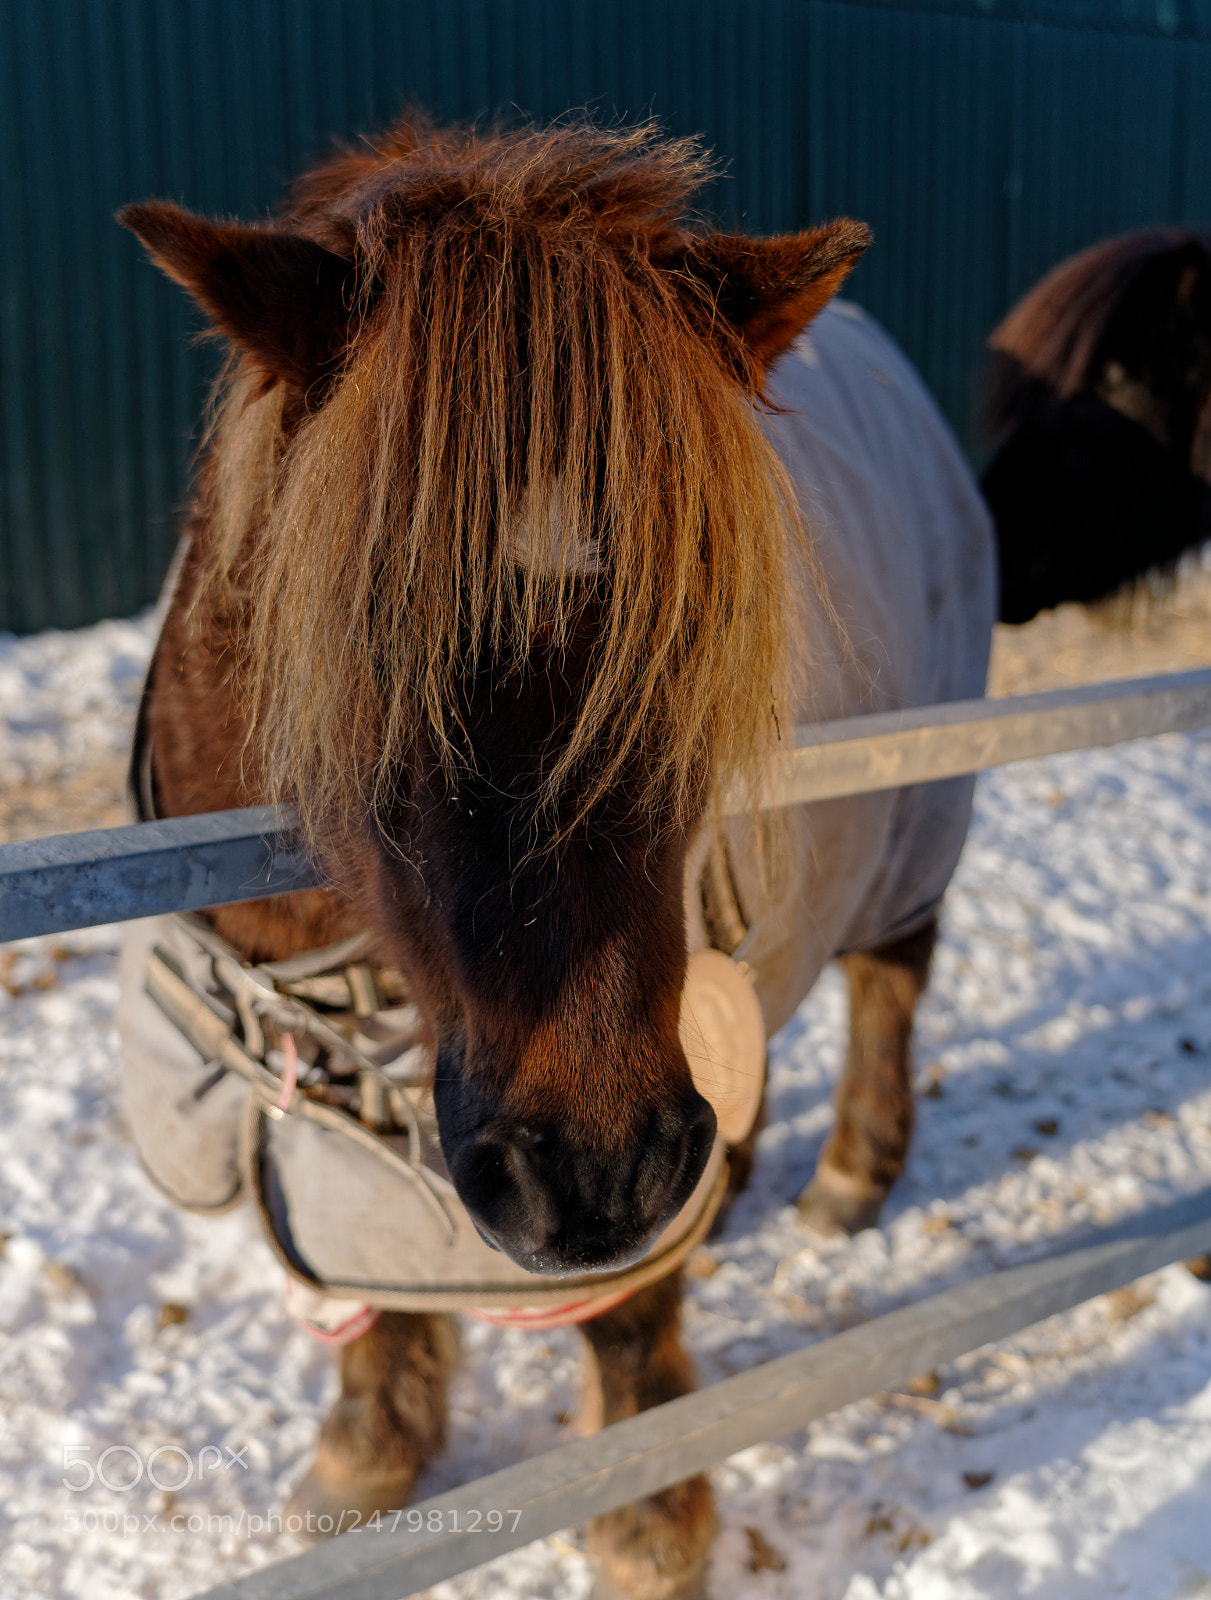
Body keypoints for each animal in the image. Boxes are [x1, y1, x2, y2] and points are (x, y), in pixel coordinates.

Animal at [116, 118, 1002, 1599]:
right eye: (367, 643)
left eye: (699, 635)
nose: (596, 1174)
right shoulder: (301, 1110)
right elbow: (362, 1283)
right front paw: (367, 1454)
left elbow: (628, 1315)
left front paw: (647, 1520)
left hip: (915, 814)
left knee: (890, 977)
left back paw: (843, 1178)